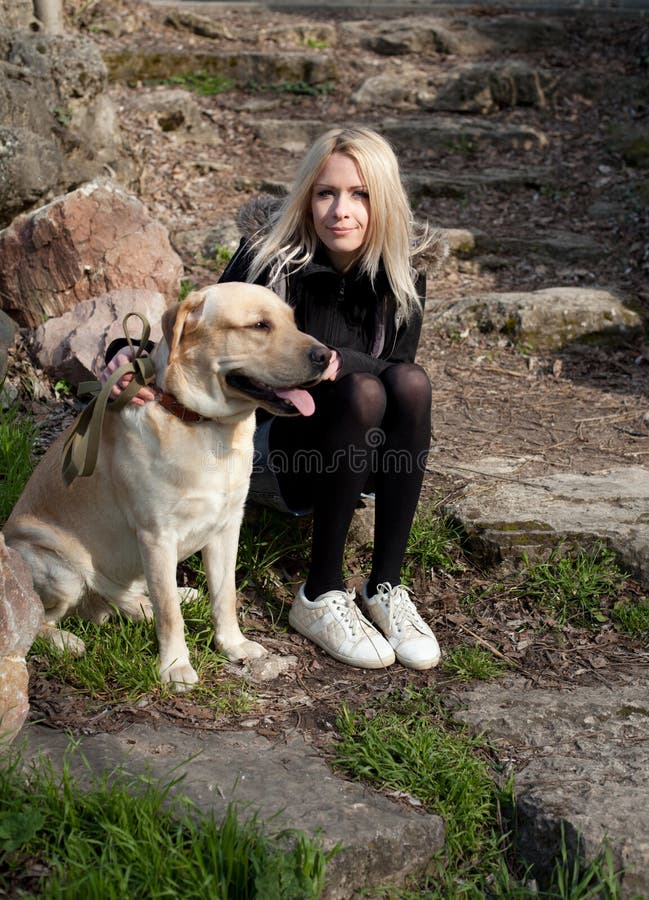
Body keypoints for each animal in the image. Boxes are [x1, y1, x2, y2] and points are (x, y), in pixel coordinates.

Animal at [2, 284, 330, 692]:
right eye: (259, 325)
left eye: (293, 321)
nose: (326, 355)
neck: (204, 425)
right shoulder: (156, 535)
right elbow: (169, 613)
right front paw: (174, 666)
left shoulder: (226, 527)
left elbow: (225, 595)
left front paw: (233, 644)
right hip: (60, 571)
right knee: (41, 618)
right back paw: (67, 639)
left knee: (126, 596)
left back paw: (155, 601)